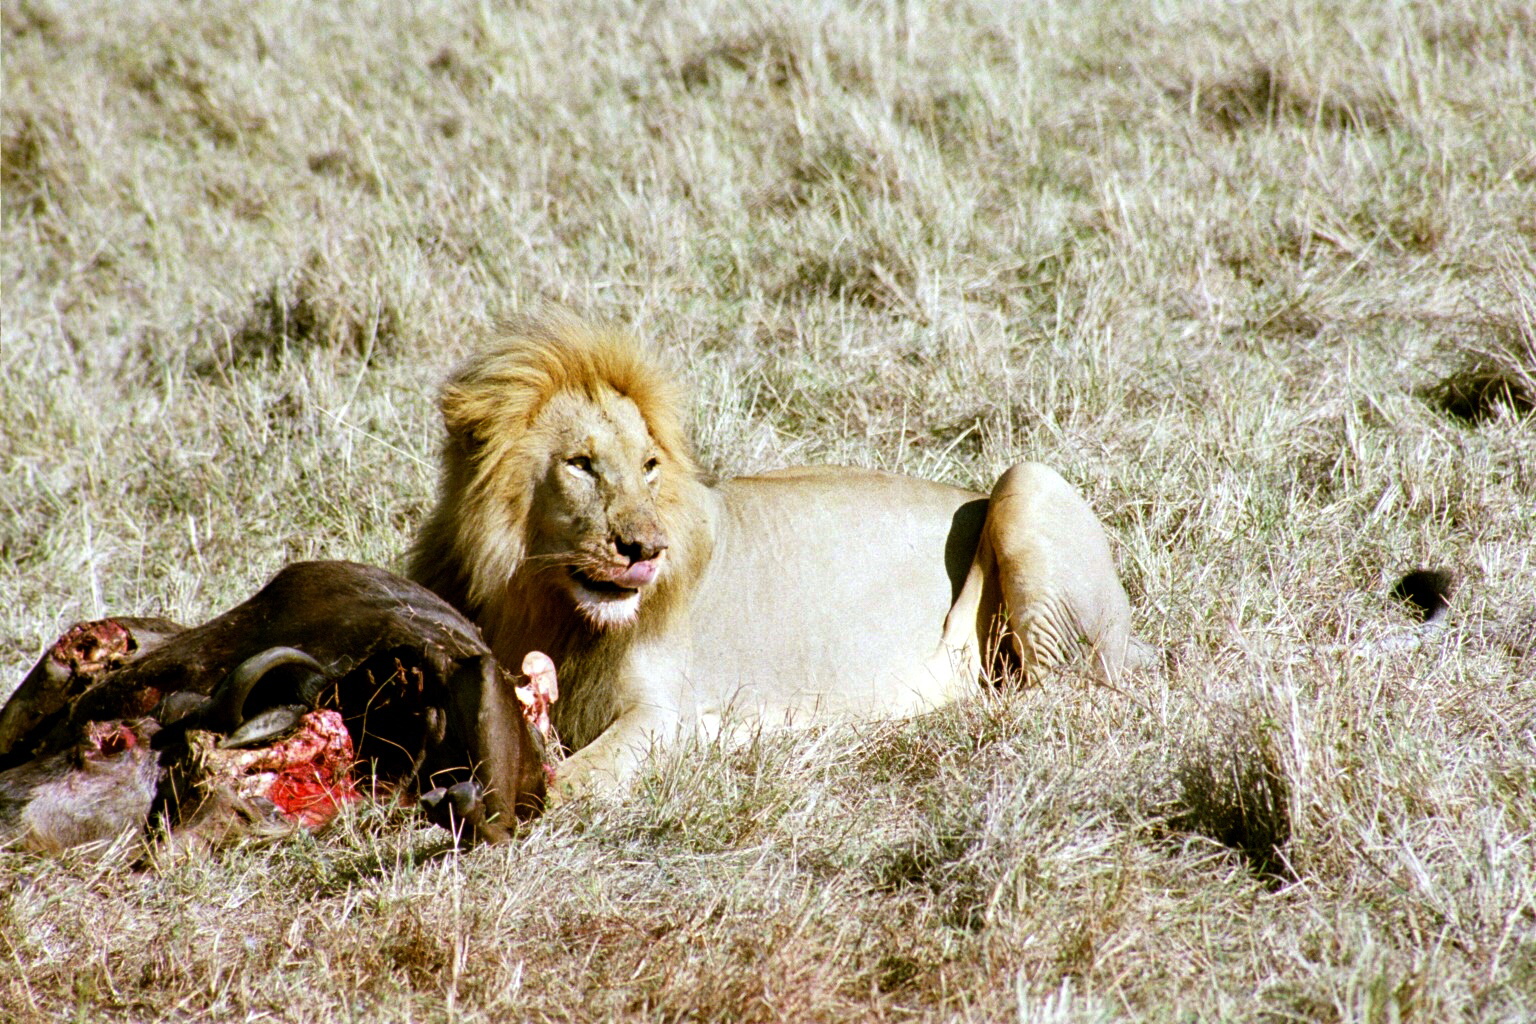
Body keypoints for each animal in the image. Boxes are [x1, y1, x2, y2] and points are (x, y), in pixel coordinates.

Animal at [414, 313, 1148, 798]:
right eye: (581, 464)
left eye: (650, 466)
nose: (646, 549)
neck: (545, 602)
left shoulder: (661, 713)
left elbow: (568, 784)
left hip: (1028, 482)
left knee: (1063, 699)